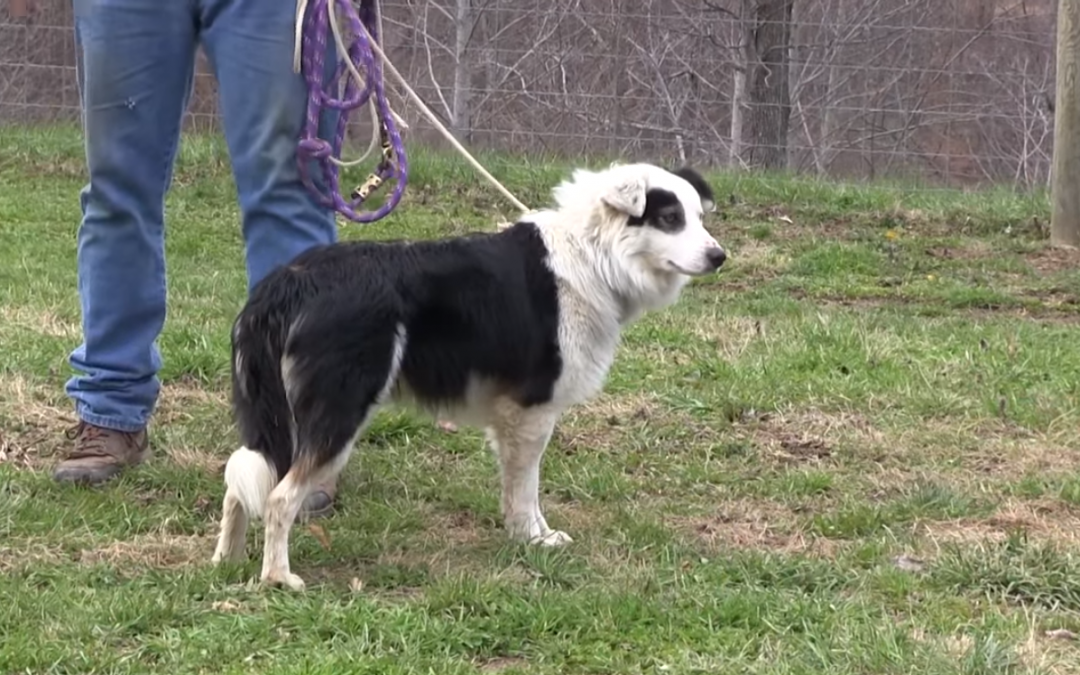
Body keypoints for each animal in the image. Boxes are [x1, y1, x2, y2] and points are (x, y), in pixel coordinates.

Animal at [208, 160, 725, 587]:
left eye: (700, 218)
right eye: (669, 219)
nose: (720, 256)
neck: (594, 256)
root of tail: (288, 282)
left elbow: (521, 489)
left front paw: (535, 537)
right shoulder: (531, 411)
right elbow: (525, 489)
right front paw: (533, 540)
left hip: (277, 420)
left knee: (239, 483)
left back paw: (226, 562)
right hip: (338, 413)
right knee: (278, 498)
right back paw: (278, 579)